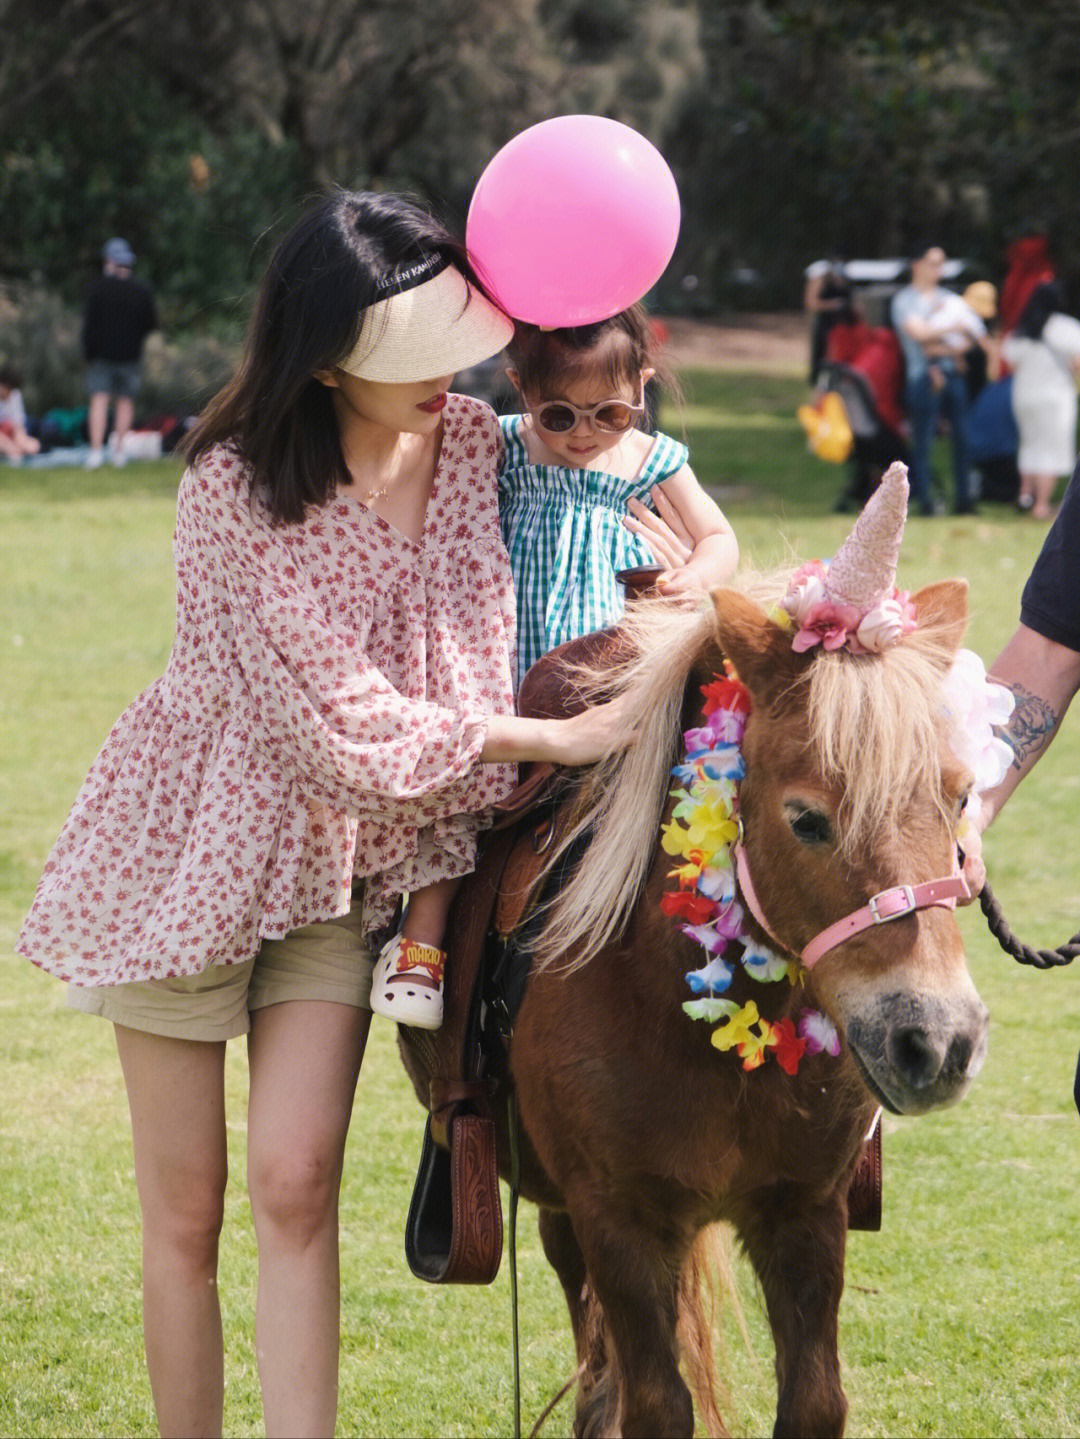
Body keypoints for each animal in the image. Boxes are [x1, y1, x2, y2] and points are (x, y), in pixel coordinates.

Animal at [414, 566, 989, 1433]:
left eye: (958, 797)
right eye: (807, 819)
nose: (939, 1038)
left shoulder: (805, 1209)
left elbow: (815, 1399)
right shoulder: (619, 1218)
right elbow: (654, 1400)